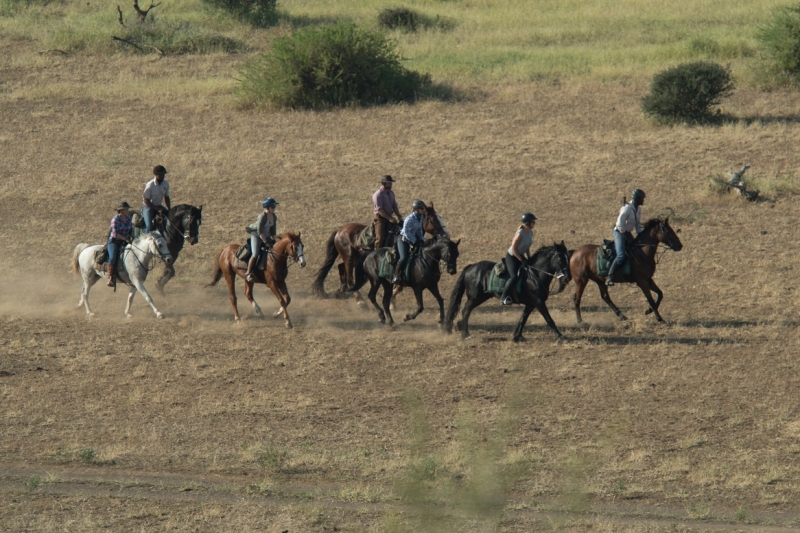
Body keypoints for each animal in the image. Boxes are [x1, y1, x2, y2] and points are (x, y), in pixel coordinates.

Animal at [312, 203, 450, 300]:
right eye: (432, 219)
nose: (445, 234)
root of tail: (339, 230)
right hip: (349, 258)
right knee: (350, 277)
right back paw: (360, 301)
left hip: (354, 257)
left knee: (341, 267)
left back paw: (341, 291)